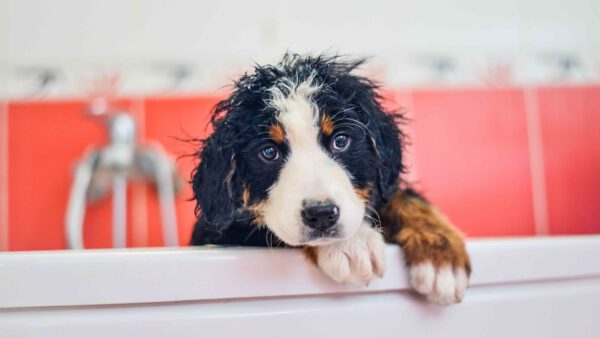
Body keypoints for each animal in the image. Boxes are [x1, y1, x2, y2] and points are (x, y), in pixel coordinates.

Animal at [190, 54, 472, 304]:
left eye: (340, 140)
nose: (322, 214)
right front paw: (353, 244)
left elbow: (402, 196)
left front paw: (441, 254)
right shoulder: (218, 232)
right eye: (269, 152)